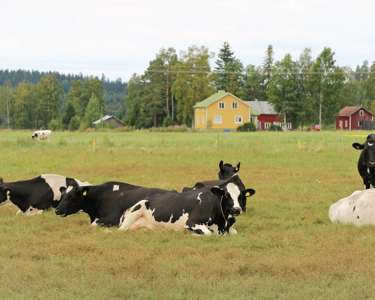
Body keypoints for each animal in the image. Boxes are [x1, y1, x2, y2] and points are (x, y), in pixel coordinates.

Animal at [119, 175, 258, 236]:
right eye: (227, 195)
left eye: (241, 196)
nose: (236, 210)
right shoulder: (192, 222)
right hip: (134, 213)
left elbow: (234, 232)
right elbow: (208, 233)